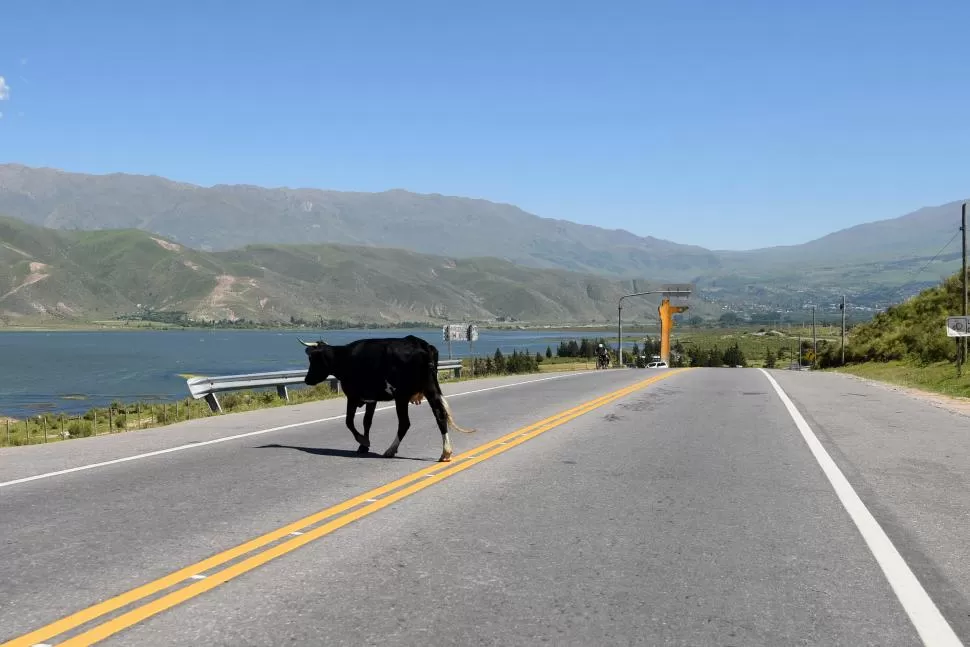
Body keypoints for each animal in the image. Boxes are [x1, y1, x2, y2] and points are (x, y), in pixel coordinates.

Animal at [296, 336, 474, 464]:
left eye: (313, 359)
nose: (306, 379)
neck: (345, 358)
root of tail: (420, 343)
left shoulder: (353, 396)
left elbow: (349, 421)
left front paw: (363, 441)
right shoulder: (371, 399)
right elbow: (367, 422)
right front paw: (363, 445)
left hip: (401, 396)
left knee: (405, 423)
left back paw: (390, 450)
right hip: (430, 389)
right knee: (440, 415)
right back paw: (445, 452)